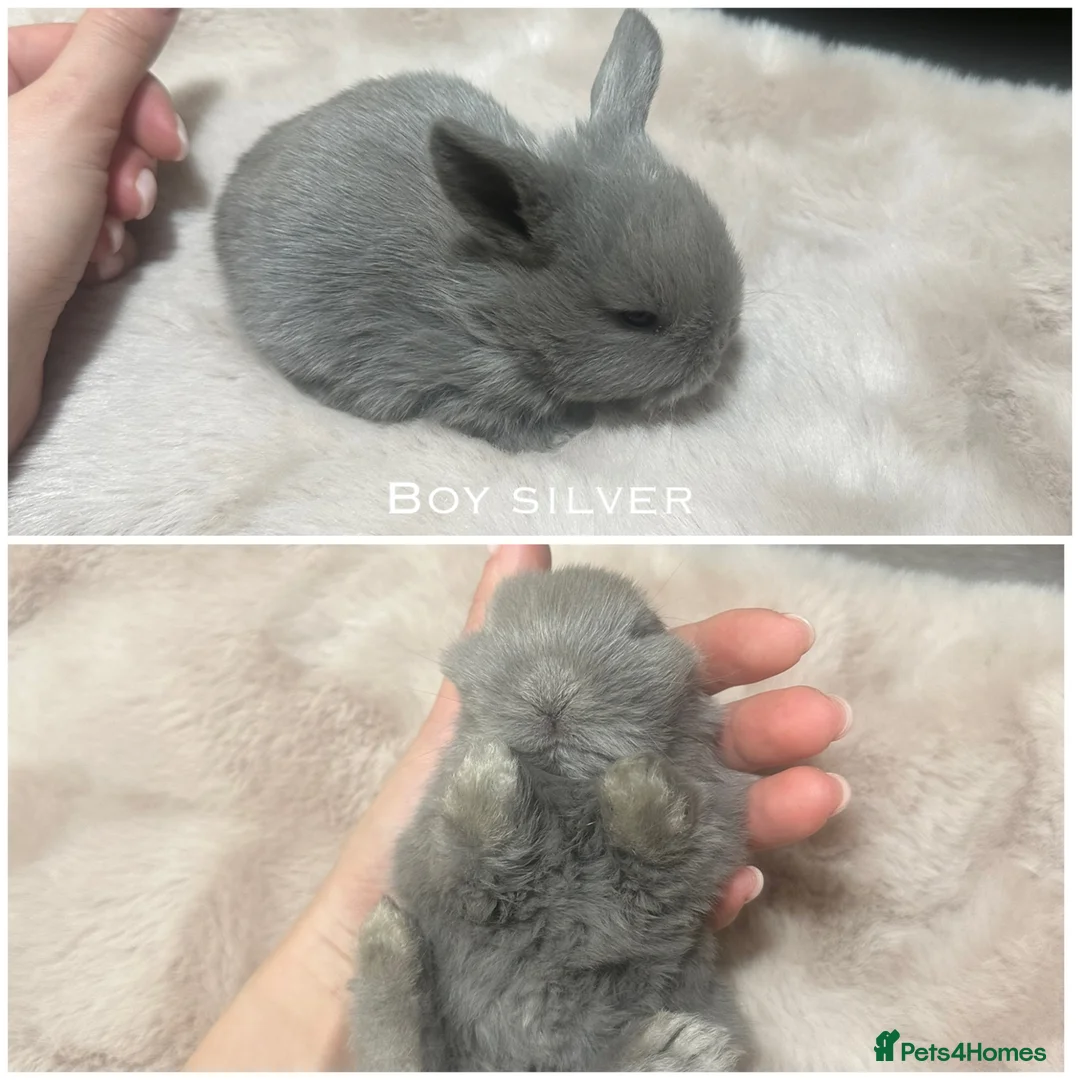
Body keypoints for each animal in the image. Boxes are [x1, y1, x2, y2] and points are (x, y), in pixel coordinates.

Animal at [350, 566, 752, 1070]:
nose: (551, 690)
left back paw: (685, 1049)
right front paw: (487, 768)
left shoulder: (703, 841)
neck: (567, 798)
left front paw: (636, 779)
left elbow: (660, 846)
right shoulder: (439, 863)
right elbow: (468, 845)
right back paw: (387, 938)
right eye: (494, 630)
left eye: (643, 630)